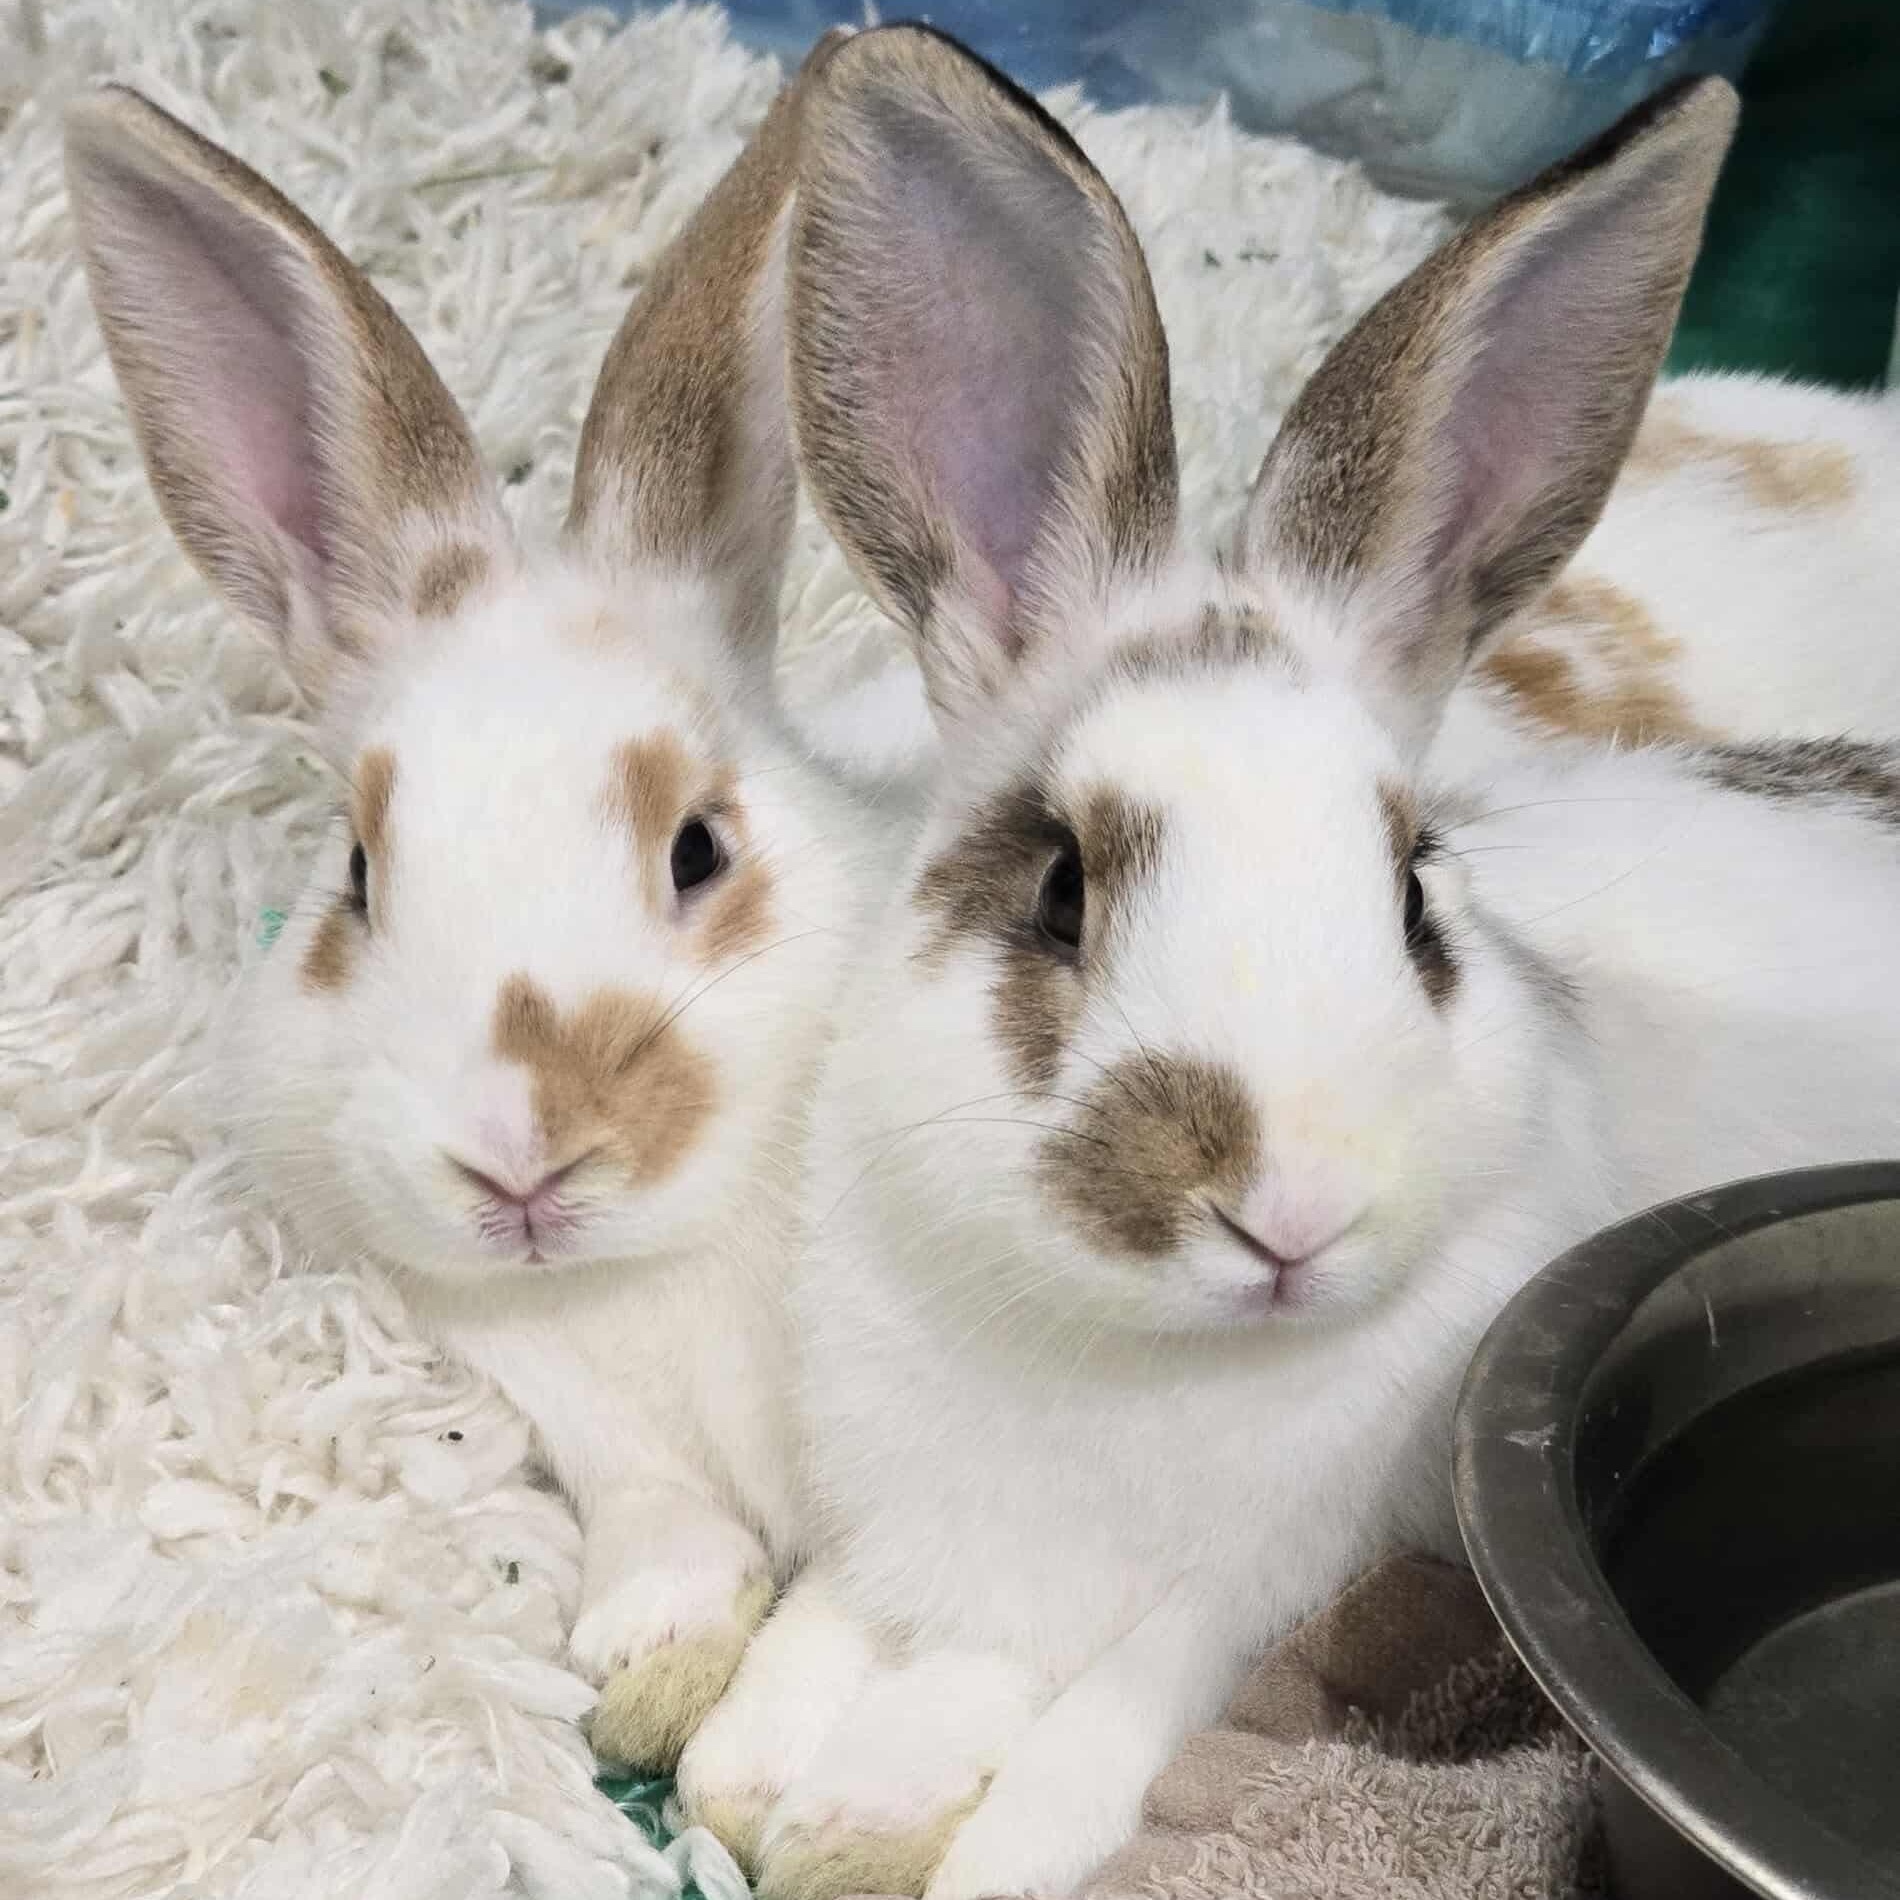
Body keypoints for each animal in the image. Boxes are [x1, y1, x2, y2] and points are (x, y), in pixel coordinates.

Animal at [61, 33, 872, 1776]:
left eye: (699, 847)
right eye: (359, 878)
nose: (518, 1154)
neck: (655, 1276)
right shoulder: (587, 1423)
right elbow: (665, 1538)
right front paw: (649, 1668)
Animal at [673, 25, 1900, 1900]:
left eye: (1412, 897)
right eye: (1060, 889)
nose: (1289, 1213)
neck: (1146, 1363)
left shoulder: (1267, 1588)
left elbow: (1089, 1735)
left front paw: (918, 1828)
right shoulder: (894, 1528)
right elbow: (821, 1648)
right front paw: (769, 1789)